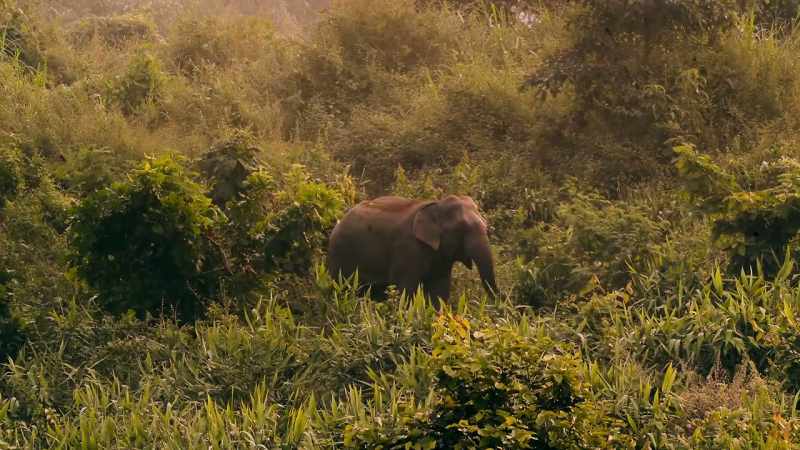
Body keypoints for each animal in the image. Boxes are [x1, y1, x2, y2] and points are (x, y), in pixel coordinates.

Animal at [326, 195, 498, 301]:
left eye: (486, 226)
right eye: (460, 229)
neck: (435, 205)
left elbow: (439, 290)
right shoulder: (407, 249)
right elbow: (406, 289)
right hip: (340, 254)